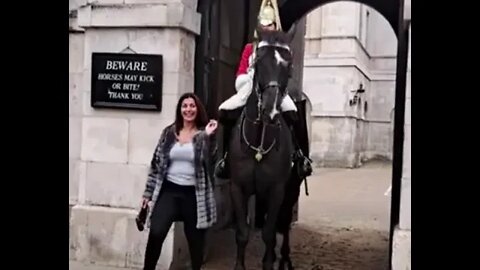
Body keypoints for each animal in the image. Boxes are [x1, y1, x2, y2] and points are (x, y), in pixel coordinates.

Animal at [227, 26, 298, 270]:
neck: (259, 141)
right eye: (258, 61)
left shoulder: (277, 190)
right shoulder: (238, 188)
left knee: (284, 224)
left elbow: (268, 234)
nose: (271, 110)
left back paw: (284, 258)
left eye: (289, 64)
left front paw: (269, 262)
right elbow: (241, 233)